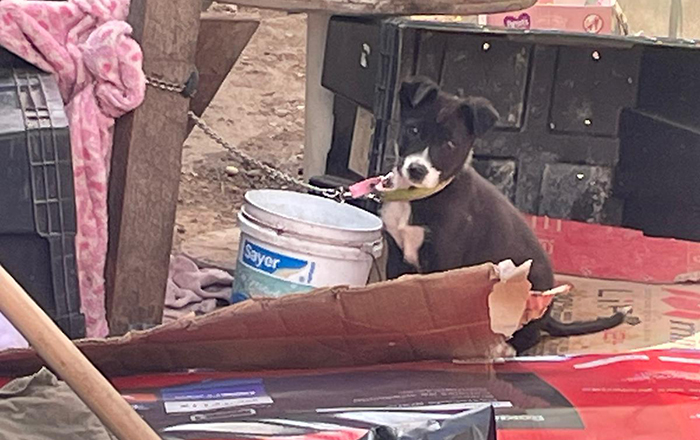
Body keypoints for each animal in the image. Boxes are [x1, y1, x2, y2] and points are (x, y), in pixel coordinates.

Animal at [381, 76, 627, 354]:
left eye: (449, 144)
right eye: (413, 130)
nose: (417, 170)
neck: (417, 197)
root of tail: (548, 315)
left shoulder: (444, 261)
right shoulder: (396, 255)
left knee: (529, 335)